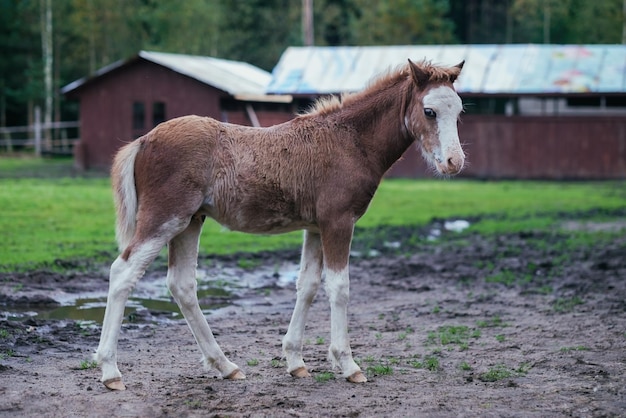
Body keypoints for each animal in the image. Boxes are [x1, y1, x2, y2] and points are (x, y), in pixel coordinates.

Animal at [94, 58, 464, 388]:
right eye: (429, 111)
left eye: (459, 111)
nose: (454, 162)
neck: (350, 141)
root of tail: (143, 140)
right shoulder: (338, 222)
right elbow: (339, 288)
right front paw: (348, 364)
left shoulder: (315, 227)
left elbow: (307, 286)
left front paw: (296, 362)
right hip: (165, 218)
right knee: (123, 272)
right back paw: (111, 371)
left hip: (189, 222)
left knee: (182, 285)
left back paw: (225, 365)